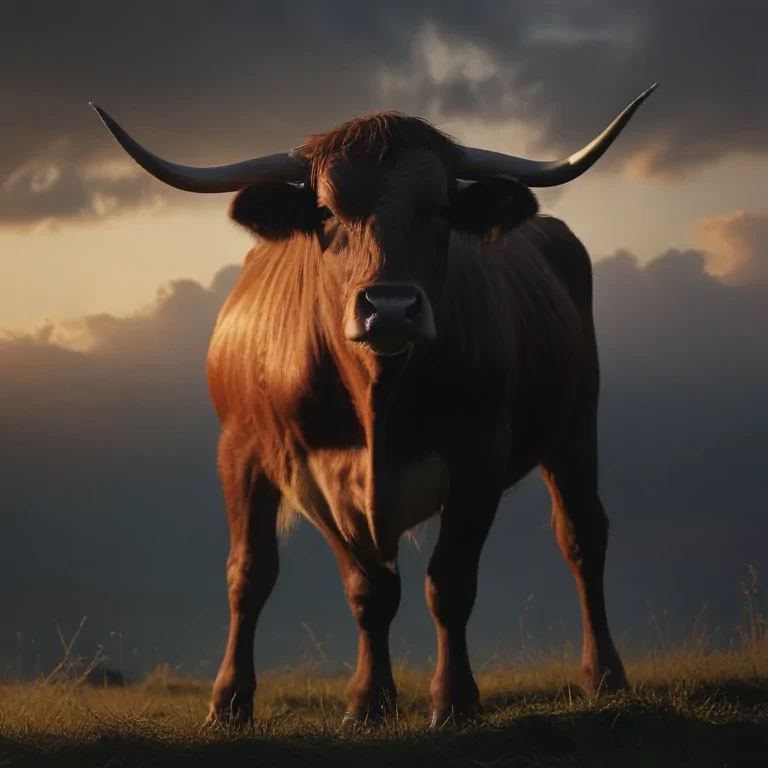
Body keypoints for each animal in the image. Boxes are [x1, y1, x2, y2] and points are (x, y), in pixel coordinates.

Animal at [90, 83, 657, 728]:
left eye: (440, 209)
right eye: (327, 212)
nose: (389, 309)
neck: (376, 398)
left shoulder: (480, 455)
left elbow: (450, 582)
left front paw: (453, 700)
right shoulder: (259, 456)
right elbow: (297, 579)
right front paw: (321, 701)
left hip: (575, 426)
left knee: (582, 537)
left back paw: (604, 674)